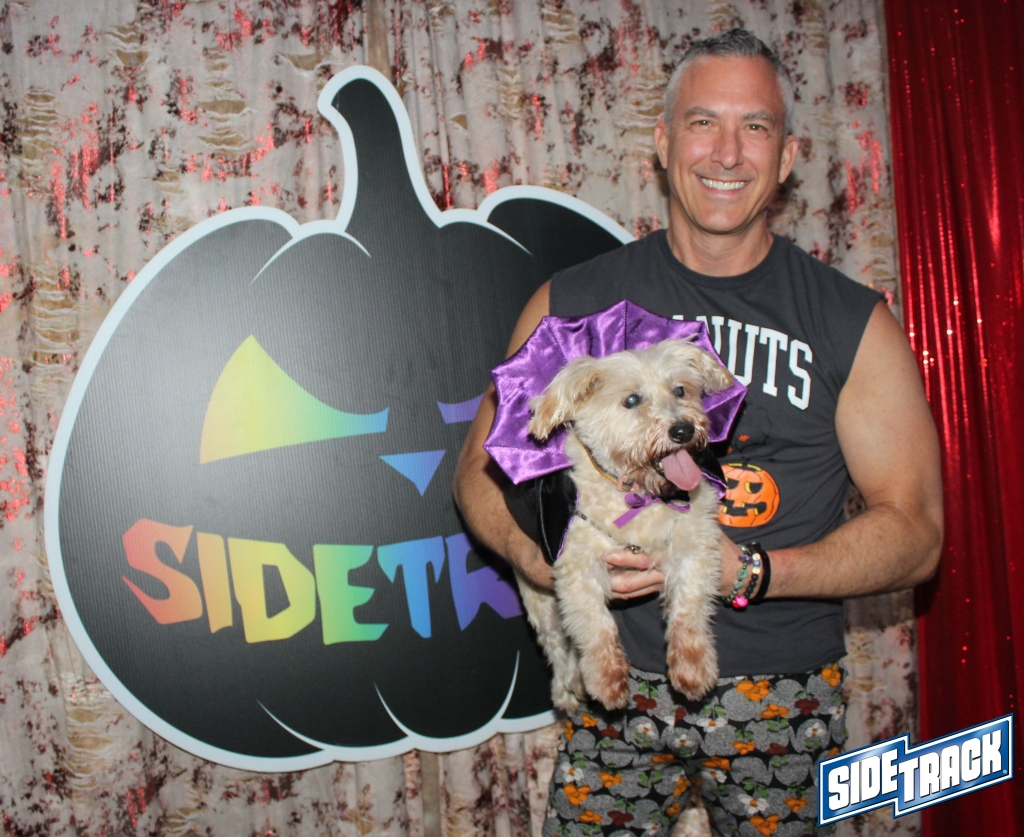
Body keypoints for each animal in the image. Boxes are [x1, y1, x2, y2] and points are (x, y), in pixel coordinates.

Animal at [516, 338, 736, 711]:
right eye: (631, 400)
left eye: (680, 390)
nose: (683, 430)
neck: (639, 496)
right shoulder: (576, 569)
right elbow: (595, 626)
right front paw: (605, 679)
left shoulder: (696, 549)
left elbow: (689, 612)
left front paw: (693, 669)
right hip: (539, 602)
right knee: (559, 646)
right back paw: (567, 686)